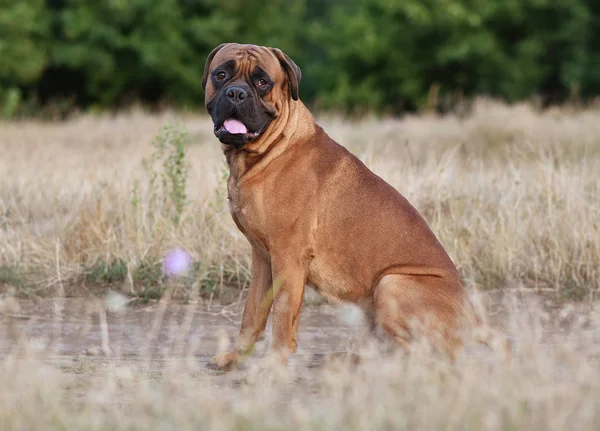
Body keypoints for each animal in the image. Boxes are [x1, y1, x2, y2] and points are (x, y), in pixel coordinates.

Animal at [203, 43, 510, 372]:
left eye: (262, 82)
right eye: (221, 75)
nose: (236, 93)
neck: (267, 152)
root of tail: (474, 324)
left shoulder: (288, 257)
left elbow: (283, 316)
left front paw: (272, 366)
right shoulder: (262, 257)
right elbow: (253, 313)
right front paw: (235, 357)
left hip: (391, 283)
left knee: (416, 352)